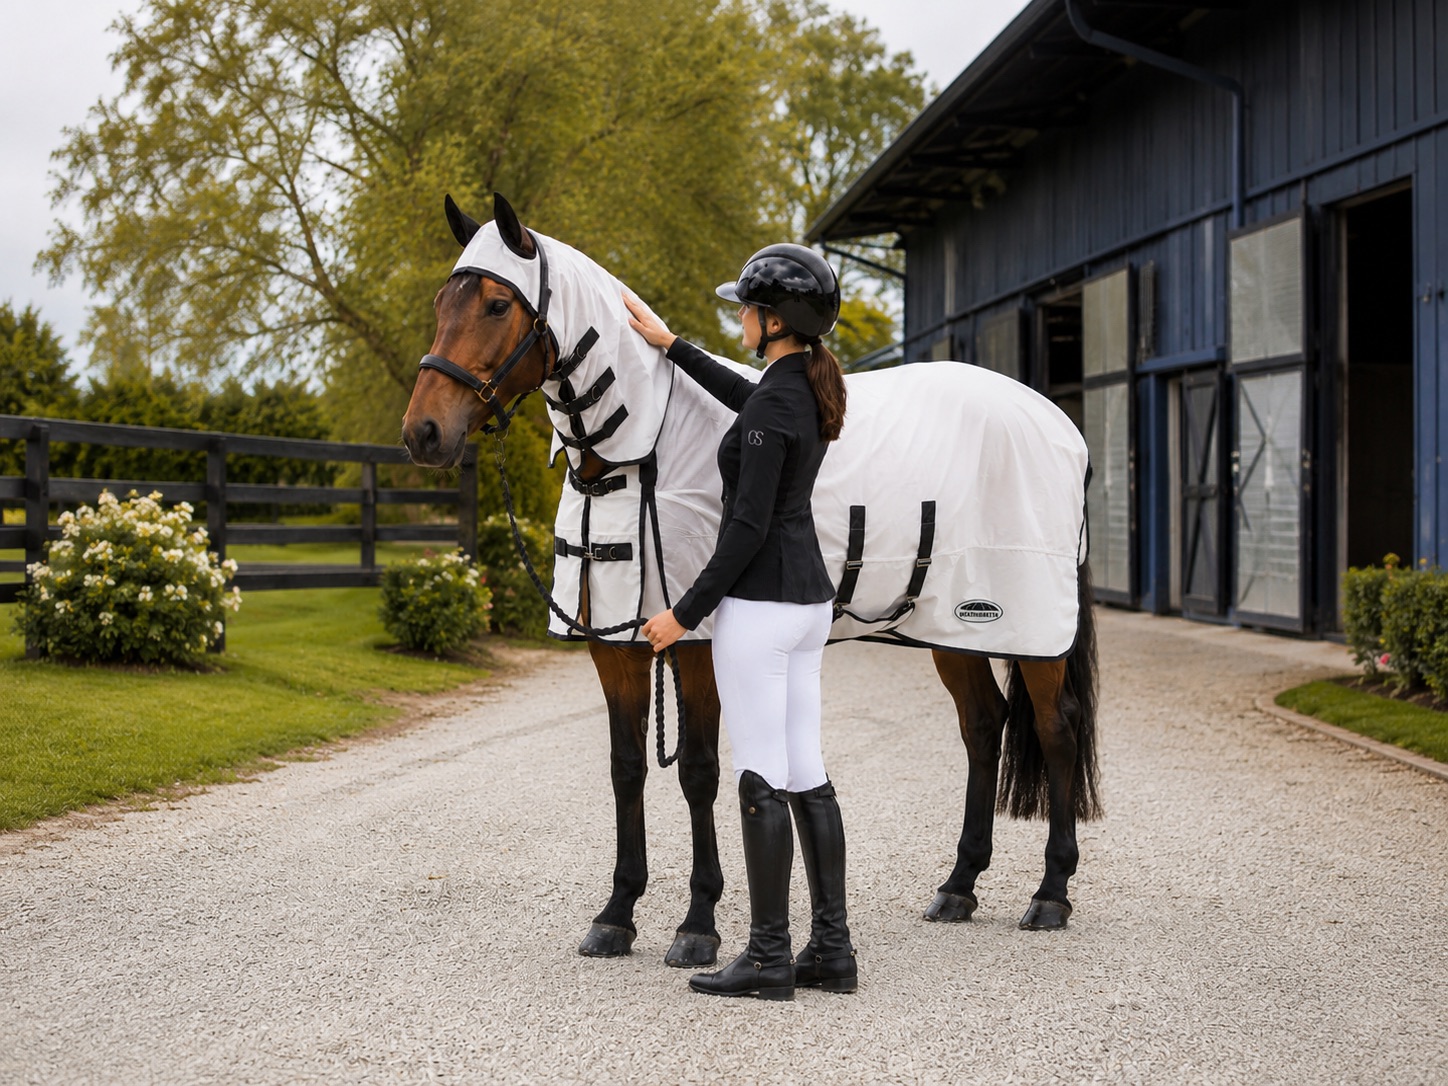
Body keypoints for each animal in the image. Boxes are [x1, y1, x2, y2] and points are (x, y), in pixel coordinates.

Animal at [402, 193, 1101, 968]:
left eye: (498, 304)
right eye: (442, 302)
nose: (423, 433)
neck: (644, 448)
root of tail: (1060, 425)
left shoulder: (696, 640)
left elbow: (700, 772)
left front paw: (697, 925)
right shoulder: (614, 644)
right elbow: (626, 768)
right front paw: (617, 915)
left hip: (1031, 628)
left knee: (1057, 727)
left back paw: (1051, 894)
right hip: (951, 626)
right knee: (983, 727)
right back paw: (959, 886)